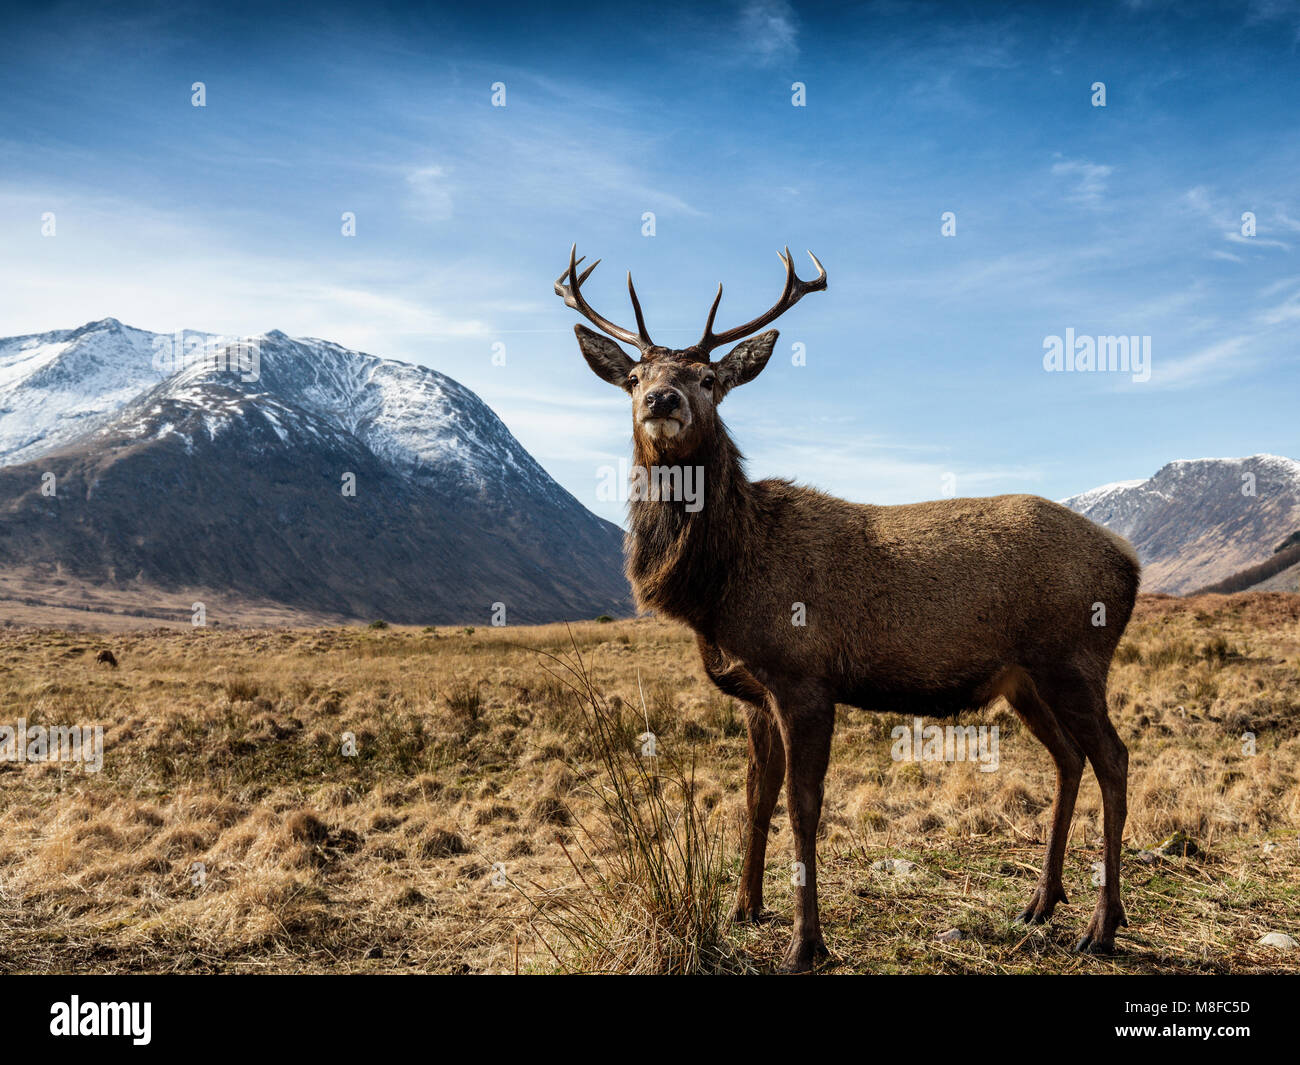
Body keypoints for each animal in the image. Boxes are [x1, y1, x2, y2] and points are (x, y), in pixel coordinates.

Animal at [553, 243, 1144, 972]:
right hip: (1025, 680)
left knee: (1113, 758)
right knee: (1069, 758)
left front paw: (806, 942)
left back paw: (1103, 923)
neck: (720, 585)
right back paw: (1042, 899)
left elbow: (804, 806)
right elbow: (756, 796)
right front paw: (745, 906)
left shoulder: (804, 676)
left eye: (711, 379)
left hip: (1074, 658)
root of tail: (1131, 562)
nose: (663, 399)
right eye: (633, 375)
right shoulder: (754, 690)